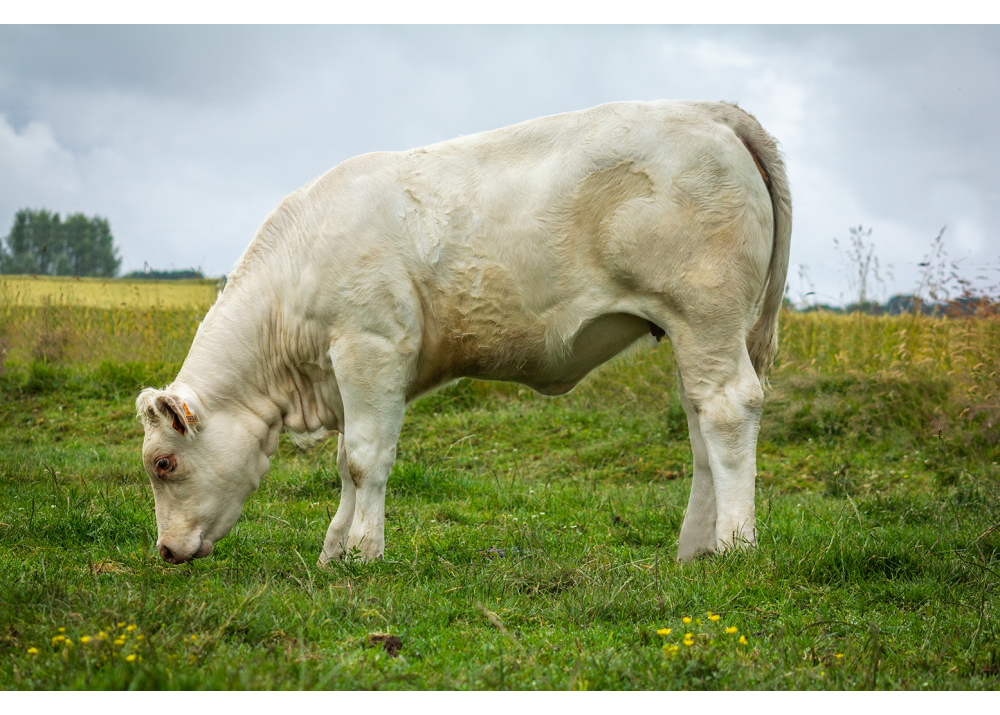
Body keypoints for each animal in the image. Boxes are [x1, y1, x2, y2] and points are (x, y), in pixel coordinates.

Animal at [135, 102, 788, 572]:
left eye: (163, 463)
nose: (165, 551)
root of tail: (709, 110)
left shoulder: (370, 347)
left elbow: (366, 461)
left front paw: (363, 553)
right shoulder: (344, 371)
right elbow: (345, 462)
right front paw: (333, 550)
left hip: (704, 312)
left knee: (728, 410)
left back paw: (735, 545)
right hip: (694, 330)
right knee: (699, 422)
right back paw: (695, 549)